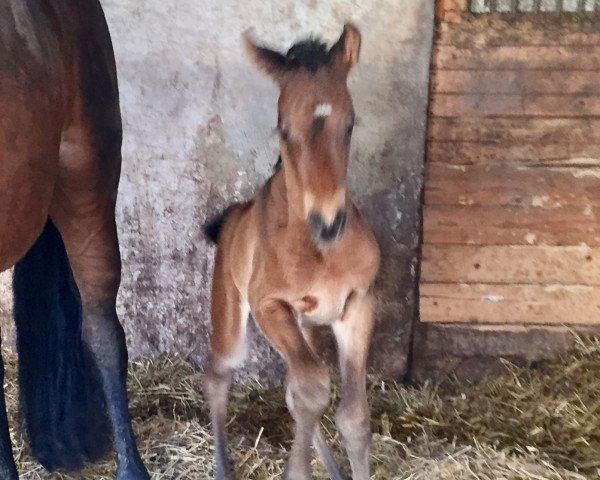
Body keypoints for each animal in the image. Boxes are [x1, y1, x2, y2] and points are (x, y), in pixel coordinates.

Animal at [204, 24, 378, 478]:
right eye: (283, 129)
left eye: (350, 124)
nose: (328, 222)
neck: (320, 251)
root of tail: (232, 218)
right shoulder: (270, 305)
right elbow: (313, 389)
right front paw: (296, 472)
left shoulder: (357, 305)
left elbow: (351, 417)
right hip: (233, 318)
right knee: (219, 375)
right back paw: (223, 467)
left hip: (305, 328)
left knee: (292, 390)